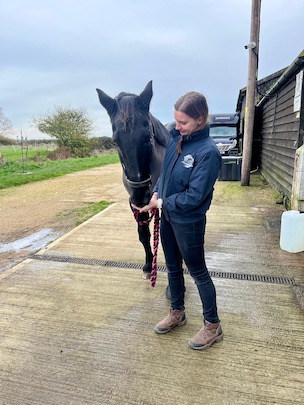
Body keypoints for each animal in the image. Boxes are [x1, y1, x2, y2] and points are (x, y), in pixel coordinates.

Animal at [96, 82, 170, 278]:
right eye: (115, 141)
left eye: (148, 136)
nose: (141, 196)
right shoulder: (135, 206)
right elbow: (143, 235)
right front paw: (148, 265)